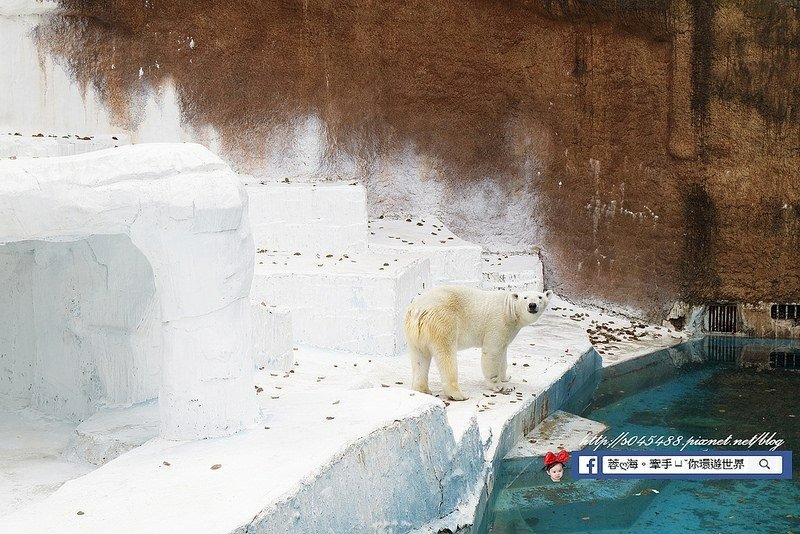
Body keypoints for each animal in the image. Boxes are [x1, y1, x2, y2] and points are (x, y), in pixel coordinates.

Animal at [404, 286, 552, 400]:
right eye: (525, 298)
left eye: (540, 297)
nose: (532, 305)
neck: (509, 309)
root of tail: (418, 310)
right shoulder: (498, 324)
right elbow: (492, 352)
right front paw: (500, 386)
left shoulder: (507, 331)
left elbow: (503, 353)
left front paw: (506, 377)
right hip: (443, 322)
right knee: (446, 356)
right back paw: (459, 395)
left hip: (415, 333)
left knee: (420, 357)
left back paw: (422, 389)